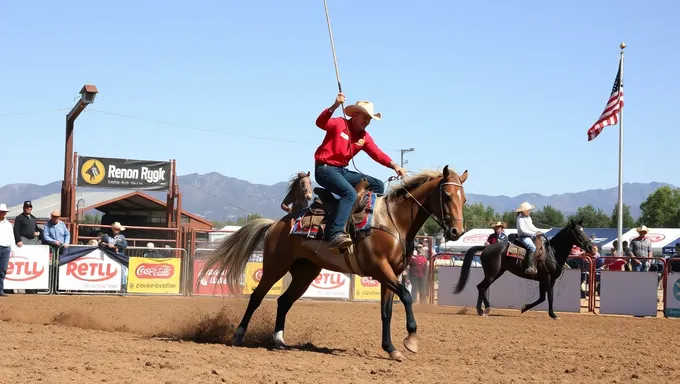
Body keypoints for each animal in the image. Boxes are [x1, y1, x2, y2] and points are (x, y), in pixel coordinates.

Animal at [198, 166, 468, 362]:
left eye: (464, 199)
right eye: (446, 195)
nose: (456, 232)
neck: (392, 221)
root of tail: (277, 223)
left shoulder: (391, 274)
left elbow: (387, 311)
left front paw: (391, 348)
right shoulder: (380, 269)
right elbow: (407, 297)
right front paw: (411, 340)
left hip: (305, 273)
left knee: (284, 301)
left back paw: (279, 341)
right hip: (276, 267)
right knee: (256, 297)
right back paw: (238, 336)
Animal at [454, 219, 592, 318]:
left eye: (584, 231)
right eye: (578, 232)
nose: (590, 247)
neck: (552, 252)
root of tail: (486, 248)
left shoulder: (546, 280)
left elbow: (542, 297)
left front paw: (525, 308)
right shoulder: (547, 278)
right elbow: (549, 297)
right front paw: (553, 315)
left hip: (496, 273)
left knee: (481, 287)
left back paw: (483, 309)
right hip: (492, 274)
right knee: (481, 287)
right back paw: (483, 309)